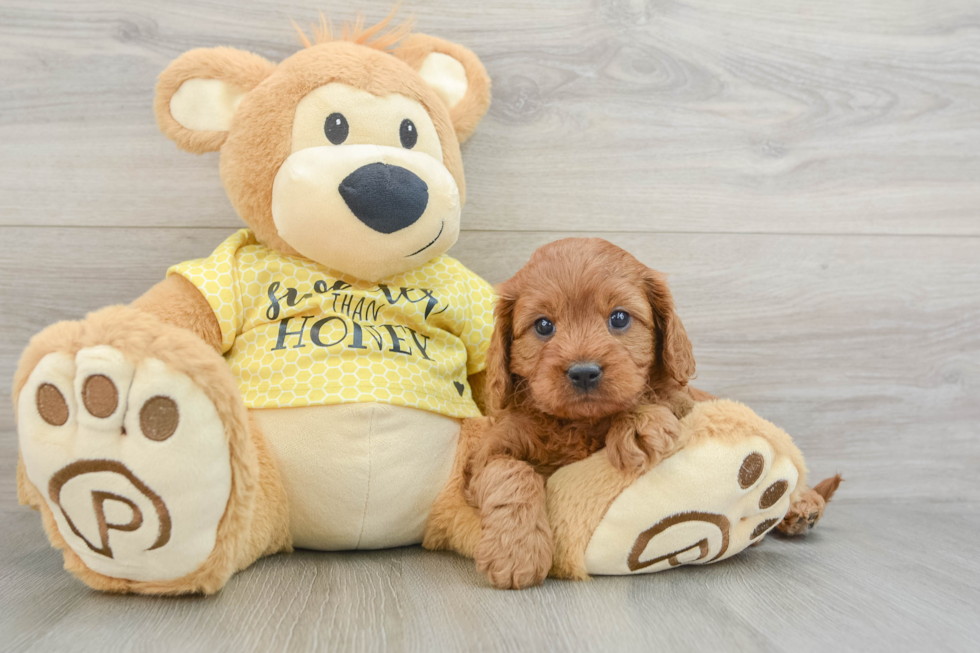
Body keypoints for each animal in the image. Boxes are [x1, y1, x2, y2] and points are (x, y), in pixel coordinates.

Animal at [468, 237, 704, 588]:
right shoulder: (485, 456)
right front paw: (516, 553)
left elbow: (661, 396)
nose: (583, 373)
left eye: (619, 318)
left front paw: (637, 423)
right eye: (543, 325)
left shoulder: (685, 400)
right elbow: (510, 472)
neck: (579, 424)